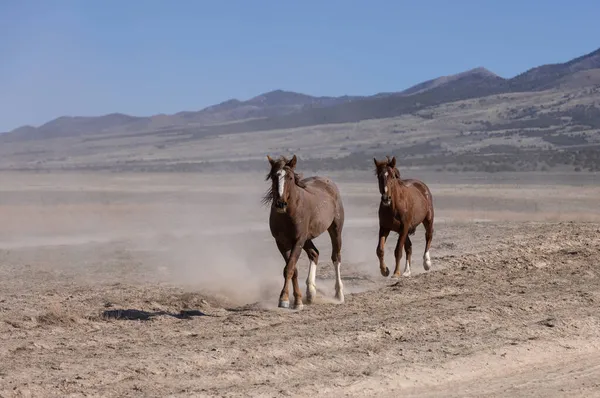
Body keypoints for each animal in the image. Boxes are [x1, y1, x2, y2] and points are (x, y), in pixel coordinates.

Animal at [264, 154, 344, 310]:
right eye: (273, 177)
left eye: (289, 177)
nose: (280, 203)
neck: (288, 214)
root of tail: (329, 182)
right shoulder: (282, 243)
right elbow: (292, 269)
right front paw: (298, 300)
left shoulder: (298, 240)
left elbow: (289, 268)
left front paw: (284, 299)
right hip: (307, 238)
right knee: (314, 253)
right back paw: (311, 292)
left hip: (335, 229)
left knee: (336, 257)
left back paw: (339, 294)